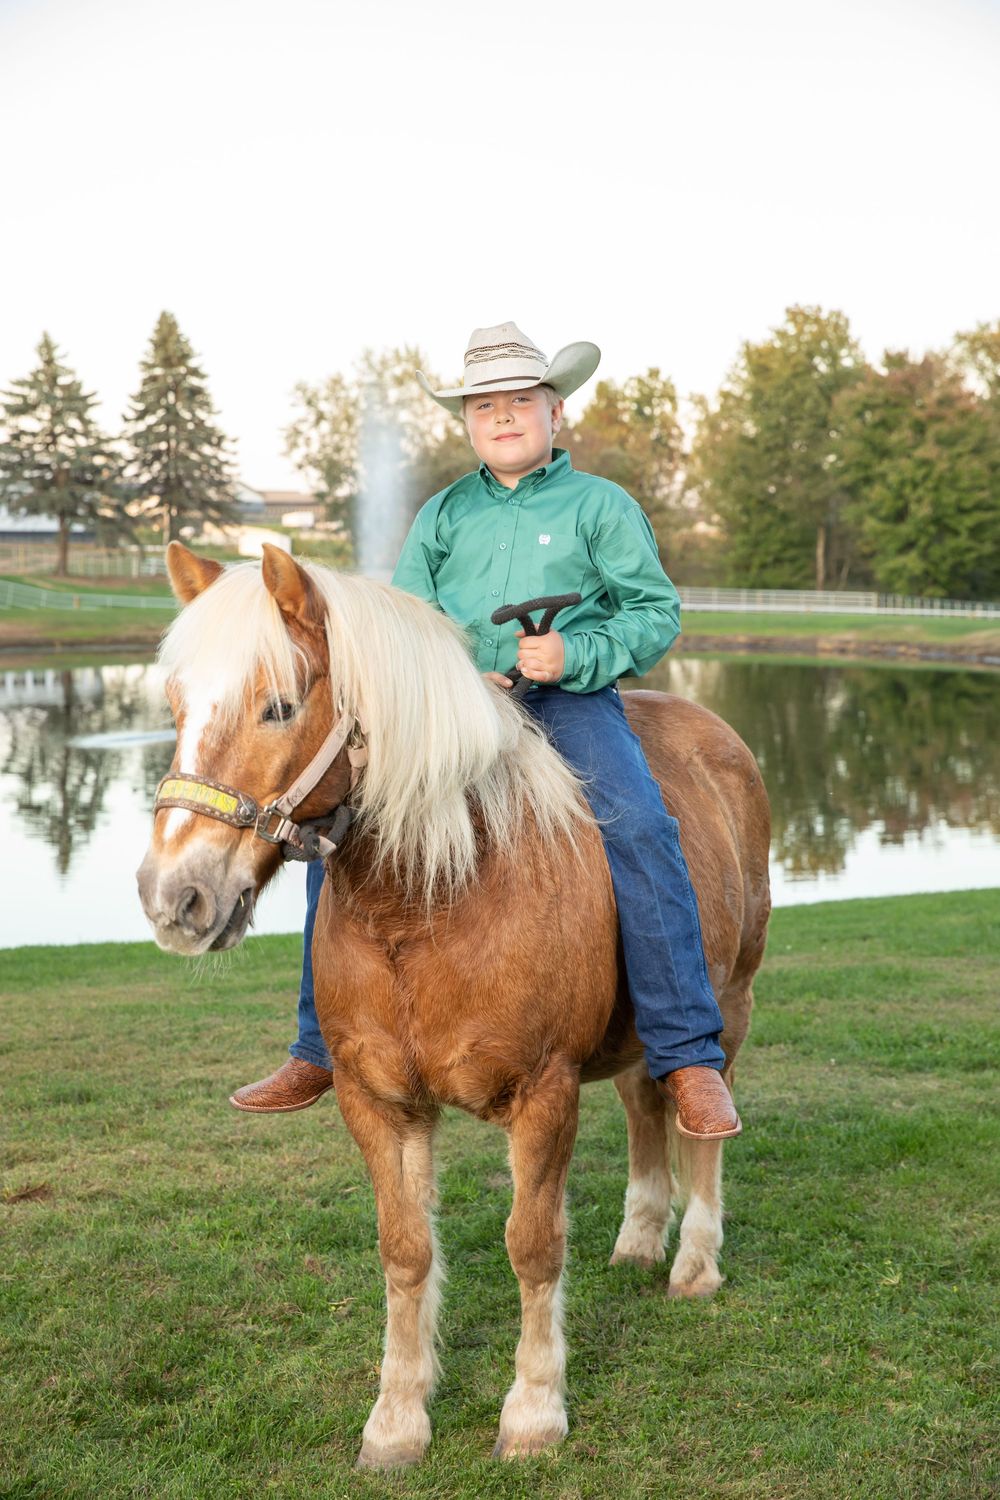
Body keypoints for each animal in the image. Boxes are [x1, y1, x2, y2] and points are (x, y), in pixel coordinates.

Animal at [137, 540, 771, 1469]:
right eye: (179, 706)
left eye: (279, 707)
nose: (173, 897)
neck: (434, 897)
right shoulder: (378, 1100)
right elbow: (405, 1250)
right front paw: (397, 1419)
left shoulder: (544, 1094)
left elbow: (533, 1248)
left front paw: (535, 1411)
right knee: (642, 1104)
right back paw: (639, 1238)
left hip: (728, 1005)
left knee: (701, 1119)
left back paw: (694, 1260)